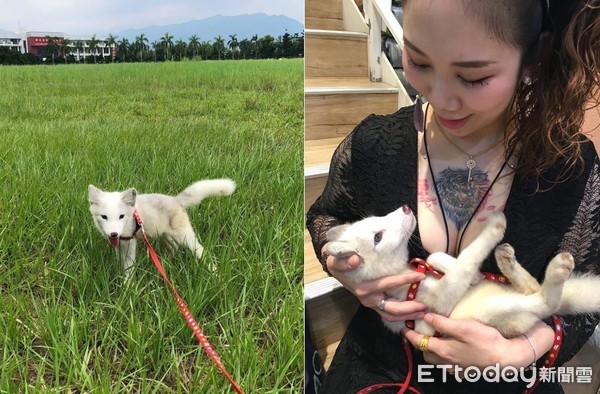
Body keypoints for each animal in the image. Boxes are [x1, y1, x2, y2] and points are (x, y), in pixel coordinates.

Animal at [89, 179, 234, 278]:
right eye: (104, 217)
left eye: (121, 216)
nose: (113, 234)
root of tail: (176, 200)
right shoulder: (120, 243)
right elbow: (119, 260)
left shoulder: (130, 242)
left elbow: (128, 266)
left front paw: (127, 286)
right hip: (162, 235)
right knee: (174, 247)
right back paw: (166, 263)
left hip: (185, 238)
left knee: (202, 251)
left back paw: (215, 273)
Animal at [326, 206, 600, 338]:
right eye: (378, 237)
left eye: (377, 218)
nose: (405, 208)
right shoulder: (439, 304)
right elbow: (468, 257)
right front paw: (494, 227)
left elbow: (435, 256)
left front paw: (468, 273)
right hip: (493, 310)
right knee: (545, 301)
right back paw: (556, 270)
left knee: (533, 286)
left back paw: (506, 262)